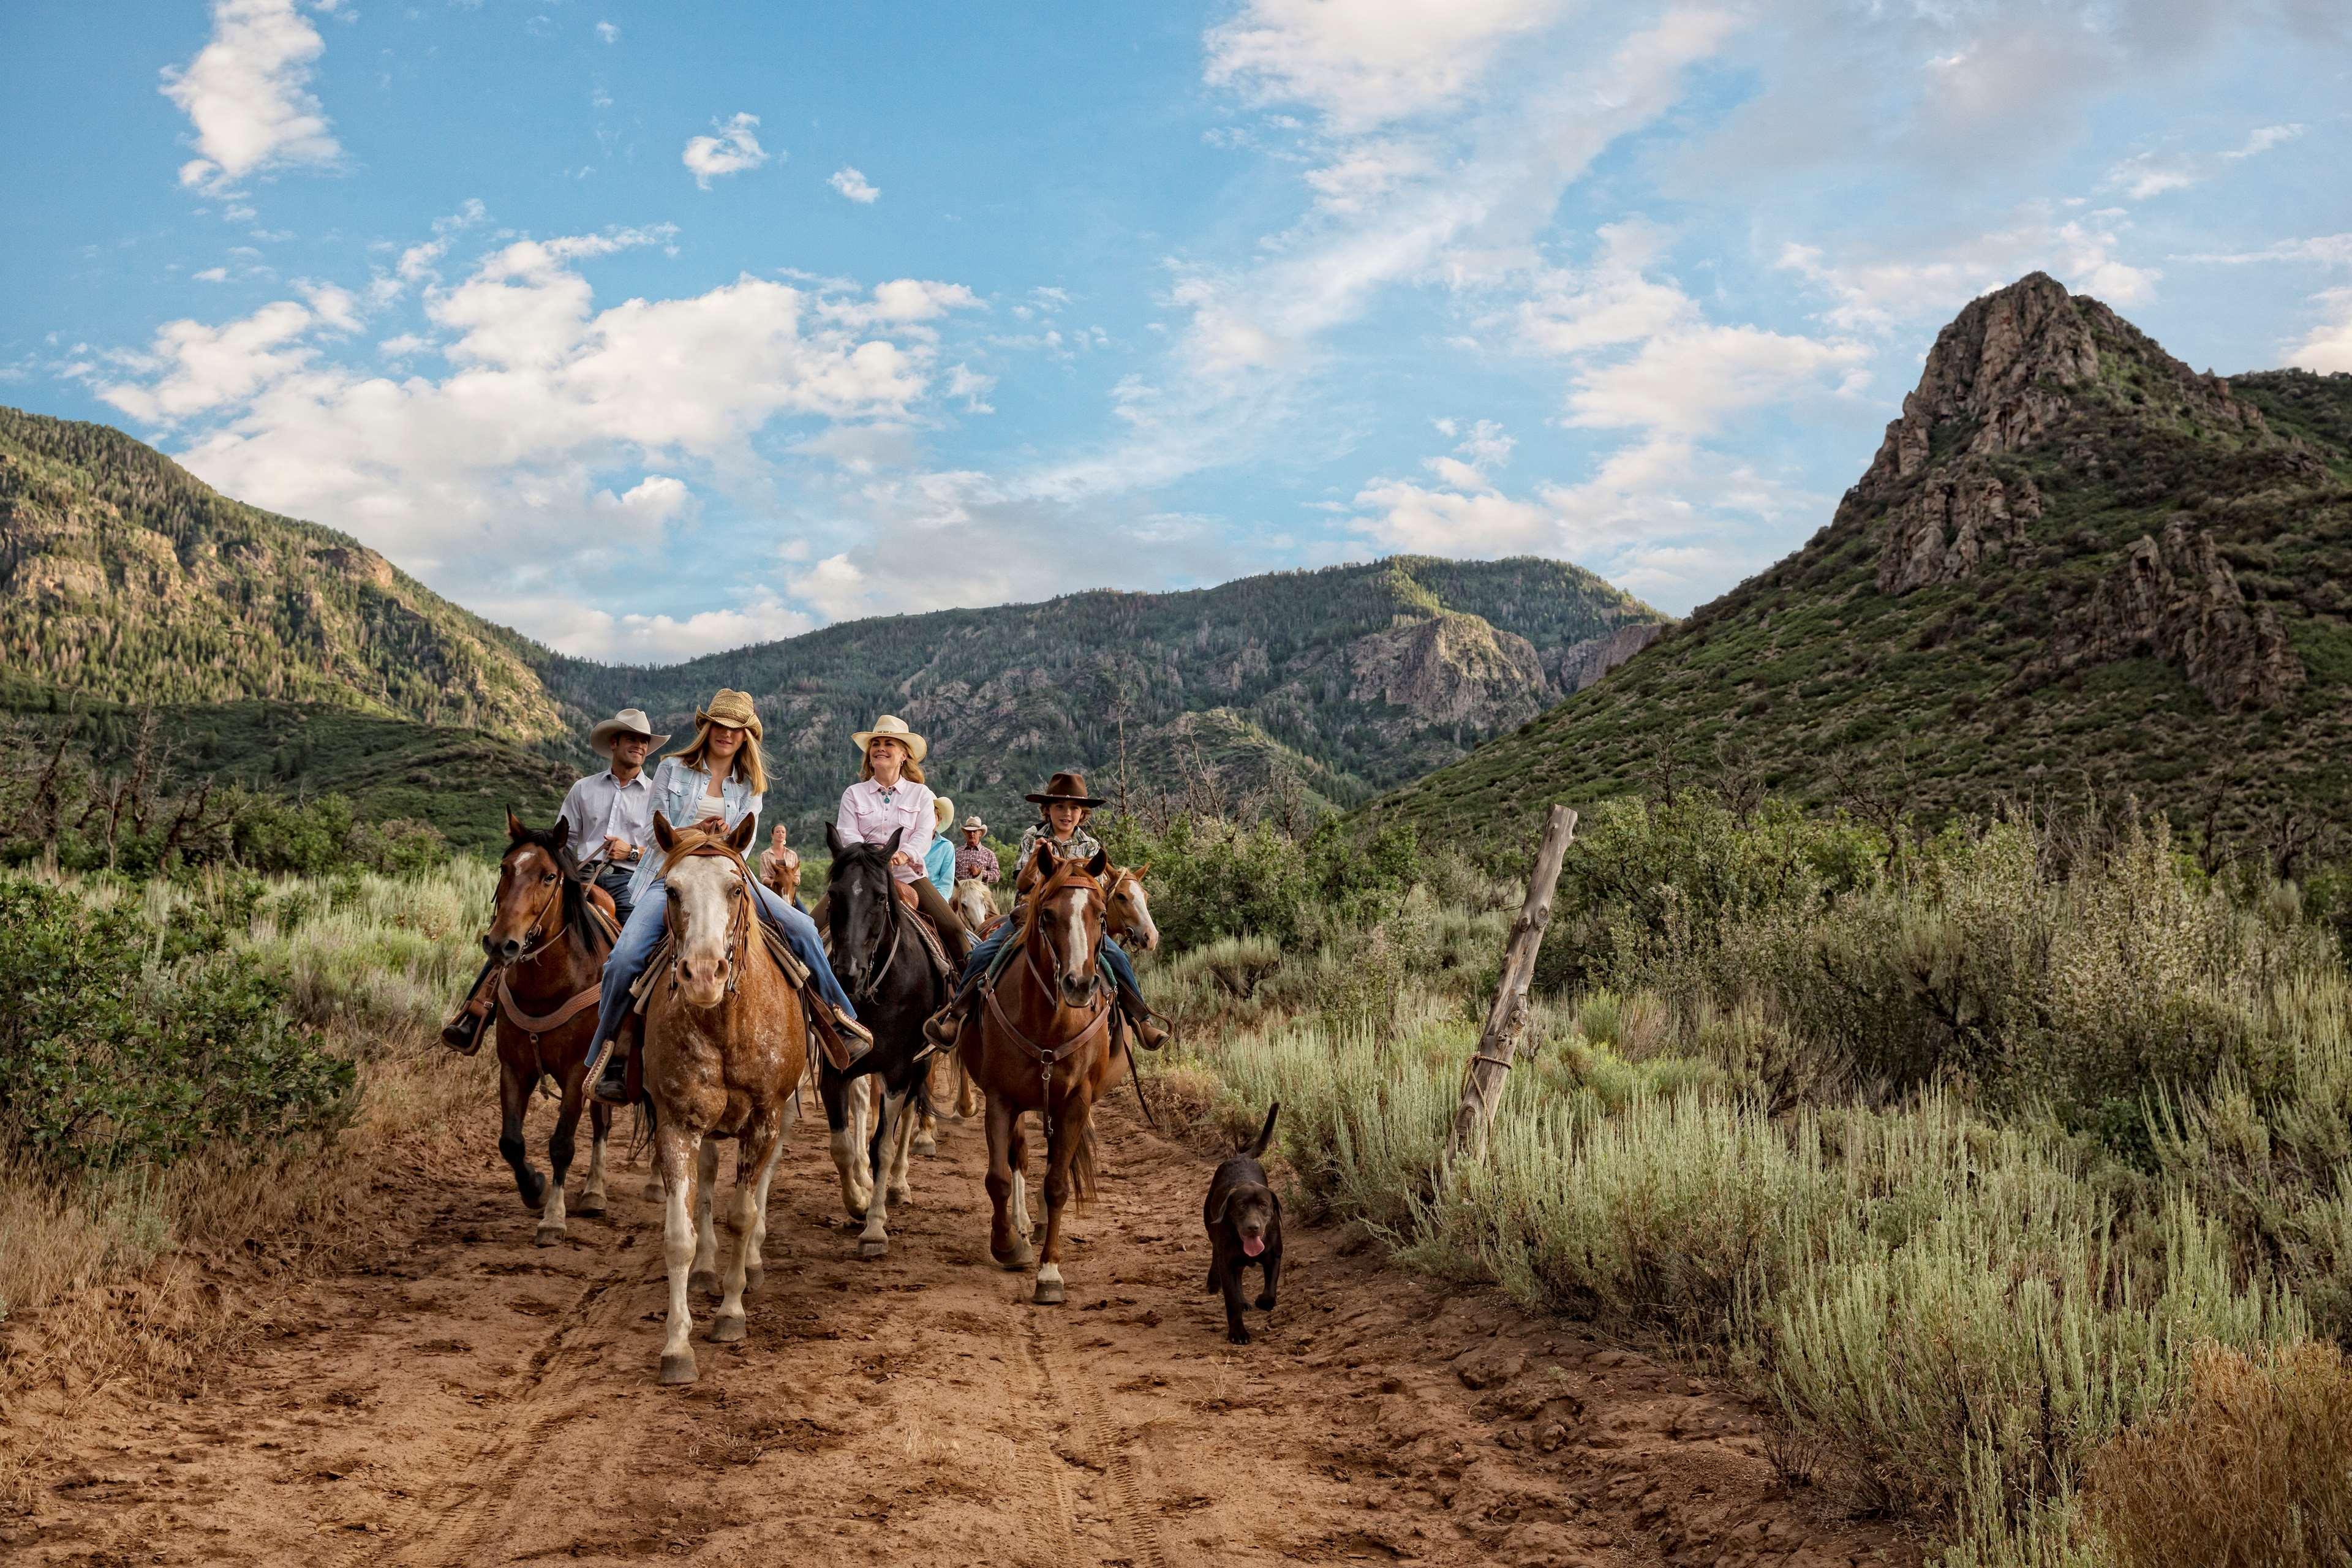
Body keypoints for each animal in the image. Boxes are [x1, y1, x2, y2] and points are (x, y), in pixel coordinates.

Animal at [489, 818, 620, 1241]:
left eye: (549, 876)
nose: (501, 944)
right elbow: (511, 1142)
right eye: (505, 869)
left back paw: (599, 1192)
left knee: (604, 1123)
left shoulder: (580, 1070)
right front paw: (534, 1188)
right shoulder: (514, 1067)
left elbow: (562, 1143)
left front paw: (553, 1218)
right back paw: (594, 1191)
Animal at [635, 809, 809, 1382]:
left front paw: (732, 1312)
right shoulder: (678, 1123)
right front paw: (676, 1346)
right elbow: (680, 1233)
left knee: (759, 1186)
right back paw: (710, 1269)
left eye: (736, 889)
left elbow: (744, 1214)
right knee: (709, 1183)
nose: (704, 974)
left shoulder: (766, 1118)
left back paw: (748, 1264)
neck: (725, 1024)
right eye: (671, 890)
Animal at [818, 827, 945, 1260]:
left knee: (904, 1124)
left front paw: (874, 1229)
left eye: (878, 897)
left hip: (921, 1066)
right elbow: (841, 1147)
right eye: (835, 893)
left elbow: (883, 1148)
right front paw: (858, 1201)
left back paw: (899, 1185)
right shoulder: (834, 1069)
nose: (847, 972)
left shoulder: (899, 1071)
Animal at [964, 846, 1129, 1316]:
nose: (1079, 984)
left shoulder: (1075, 1103)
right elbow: (999, 1176)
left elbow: (1057, 1183)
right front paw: (1007, 1246)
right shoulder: (1000, 1098)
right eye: (1049, 915)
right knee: (1018, 1156)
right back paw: (1020, 1226)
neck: (1050, 1022)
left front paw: (1050, 1273)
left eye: (1100, 915)